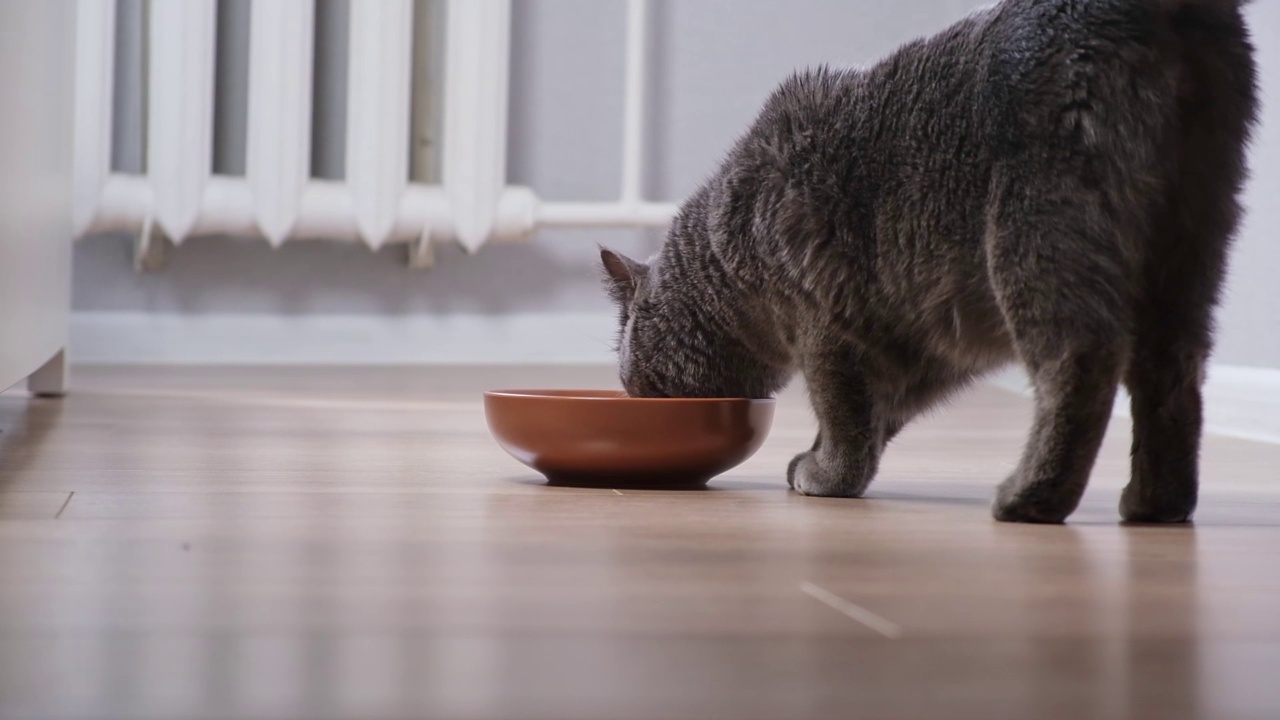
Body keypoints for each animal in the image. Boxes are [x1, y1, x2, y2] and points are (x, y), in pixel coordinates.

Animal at [601, 0, 1259, 517]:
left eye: (631, 377)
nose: (631, 397)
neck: (728, 251)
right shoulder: (924, 344)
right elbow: (878, 416)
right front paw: (829, 463)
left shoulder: (823, 324)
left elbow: (843, 409)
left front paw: (825, 475)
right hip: (1191, 238)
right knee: (1173, 373)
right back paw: (1156, 504)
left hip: (1039, 231)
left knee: (1080, 360)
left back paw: (1030, 498)